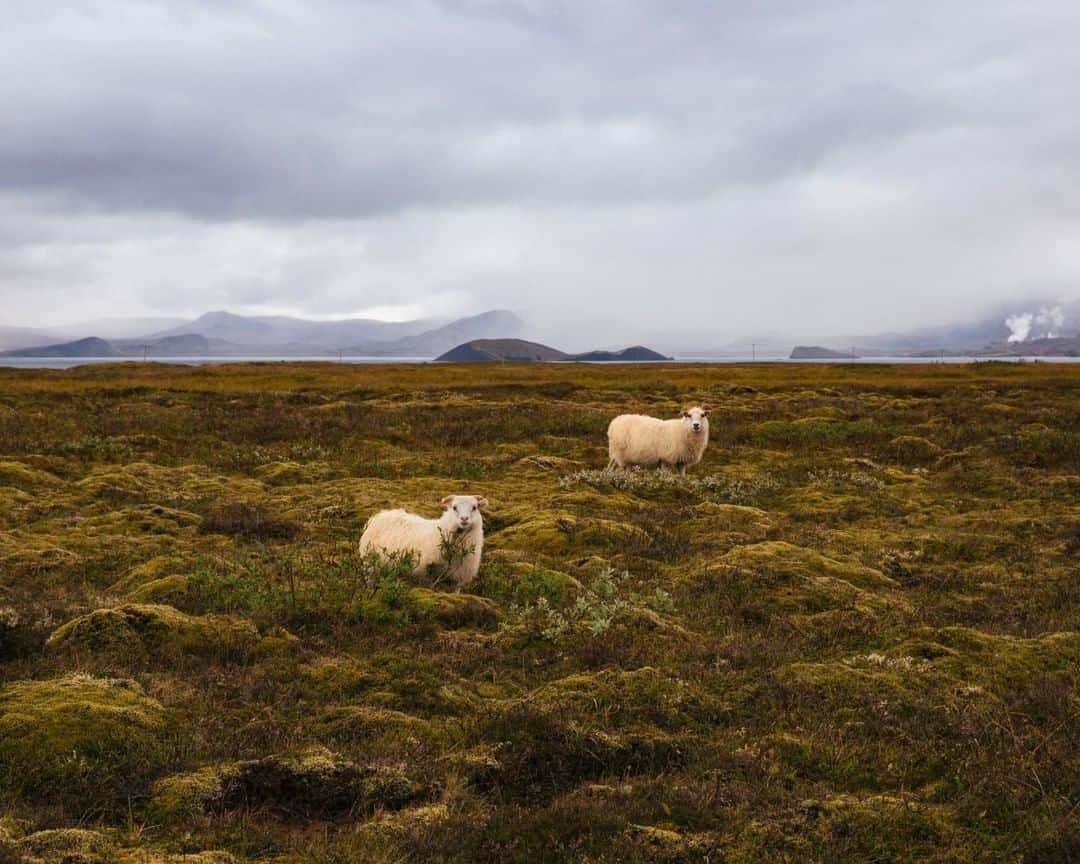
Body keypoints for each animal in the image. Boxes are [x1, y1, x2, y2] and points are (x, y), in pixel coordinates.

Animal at [356, 496, 488, 591]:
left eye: (474, 507)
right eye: (454, 507)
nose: (464, 519)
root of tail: (379, 515)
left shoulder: (456, 581)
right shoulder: (426, 577)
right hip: (370, 567)